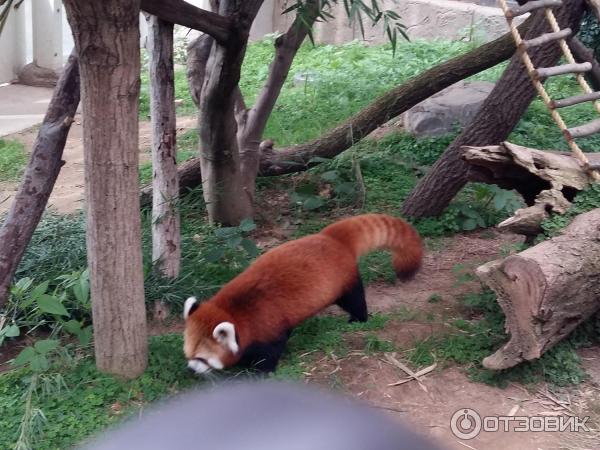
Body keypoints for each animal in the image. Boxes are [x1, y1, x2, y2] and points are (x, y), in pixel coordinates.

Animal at [183, 213, 422, 374]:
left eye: (202, 358)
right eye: (189, 354)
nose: (191, 369)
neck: (236, 311)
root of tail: (332, 237)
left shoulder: (268, 327)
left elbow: (270, 352)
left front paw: (258, 370)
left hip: (343, 282)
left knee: (354, 300)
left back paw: (357, 319)